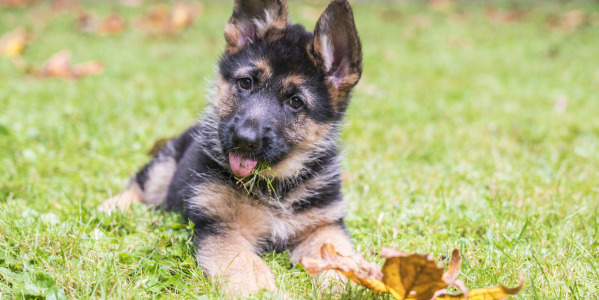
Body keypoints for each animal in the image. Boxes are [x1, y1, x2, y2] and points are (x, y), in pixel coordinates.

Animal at [99, 0, 360, 296]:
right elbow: (247, 266)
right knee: (141, 184)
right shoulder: (221, 227)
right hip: (164, 165)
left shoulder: (324, 225)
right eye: (245, 83)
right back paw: (113, 206)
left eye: (296, 102)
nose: (244, 139)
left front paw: (348, 282)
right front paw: (263, 291)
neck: (274, 186)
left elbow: (339, 255)